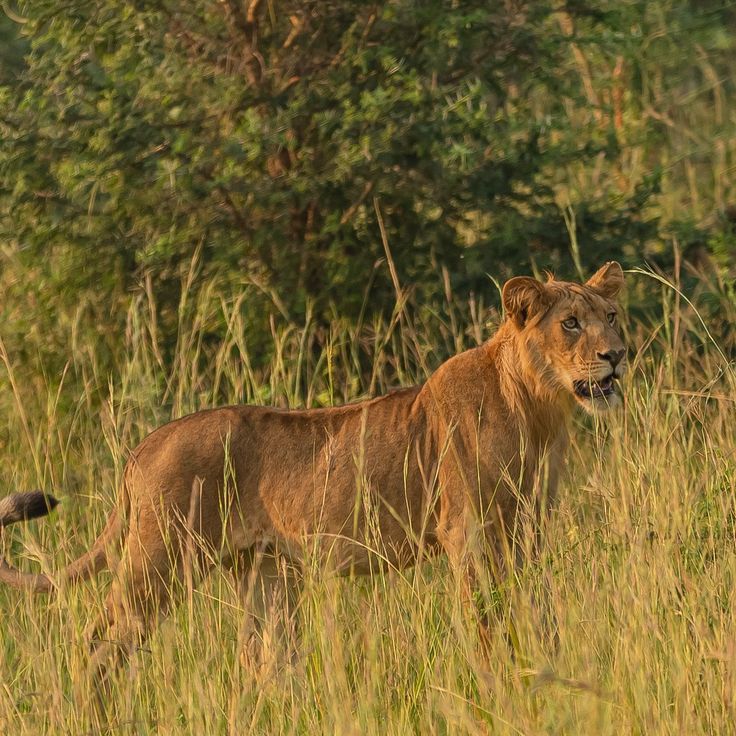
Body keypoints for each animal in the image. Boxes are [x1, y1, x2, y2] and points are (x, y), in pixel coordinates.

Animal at [0, 261, 625, 689]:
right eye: (571, 324)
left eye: (612, 317)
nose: (619, 355)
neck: (538, 410)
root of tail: (144, 444)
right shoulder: (466, 530)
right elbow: (485, 616)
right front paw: (496, 679)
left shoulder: (528, 528)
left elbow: (537, 605)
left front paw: (546, 661)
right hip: (158, 560)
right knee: (98, 641)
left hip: (263, 573)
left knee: (261, 660)